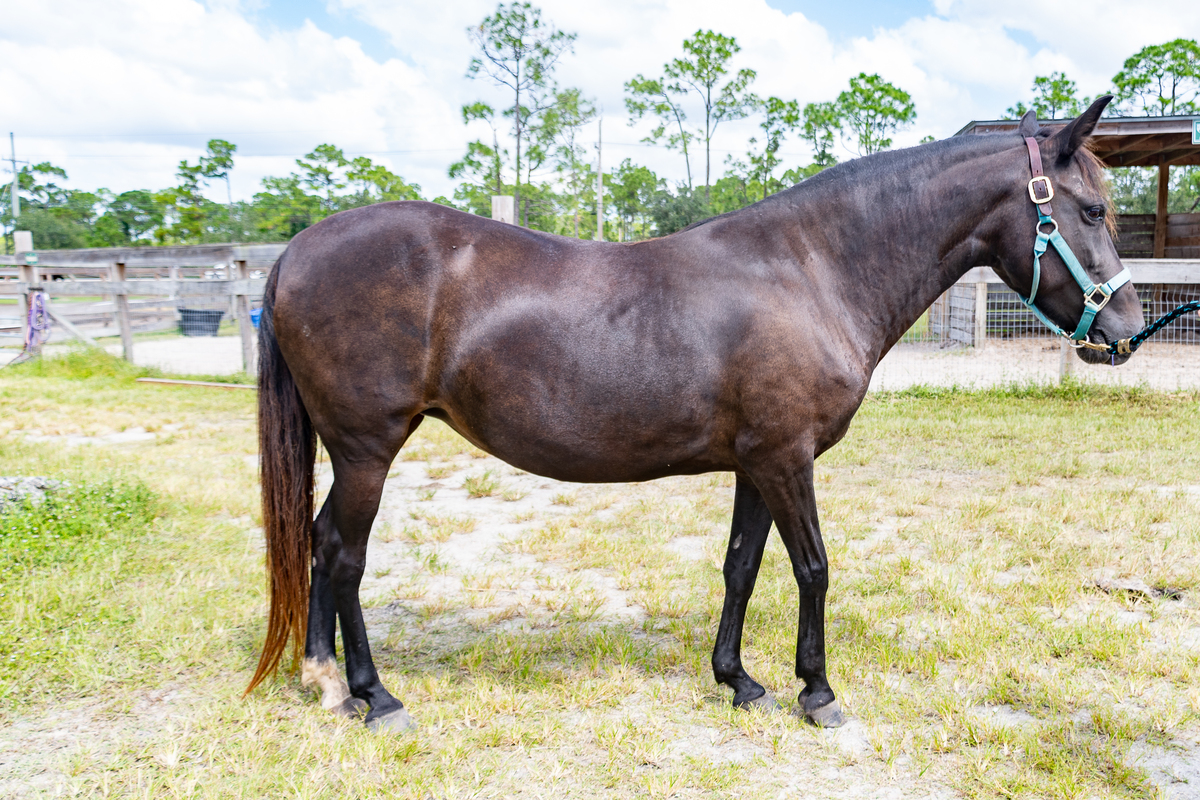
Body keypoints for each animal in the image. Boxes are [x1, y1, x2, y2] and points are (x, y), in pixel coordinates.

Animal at [247, 97, 1143, 732]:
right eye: (1093, 211)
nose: (1127, 330)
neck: (810, 269)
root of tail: (295, 250)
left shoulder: (757, 461)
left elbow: (742, 566)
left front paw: (739, 681)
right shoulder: (787, 458)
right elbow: (814, 567)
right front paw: (818, 693)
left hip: (348, 451)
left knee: (320, 544)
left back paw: (323, 679)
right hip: (368, 448)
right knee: (343, 554)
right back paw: (375, 696)